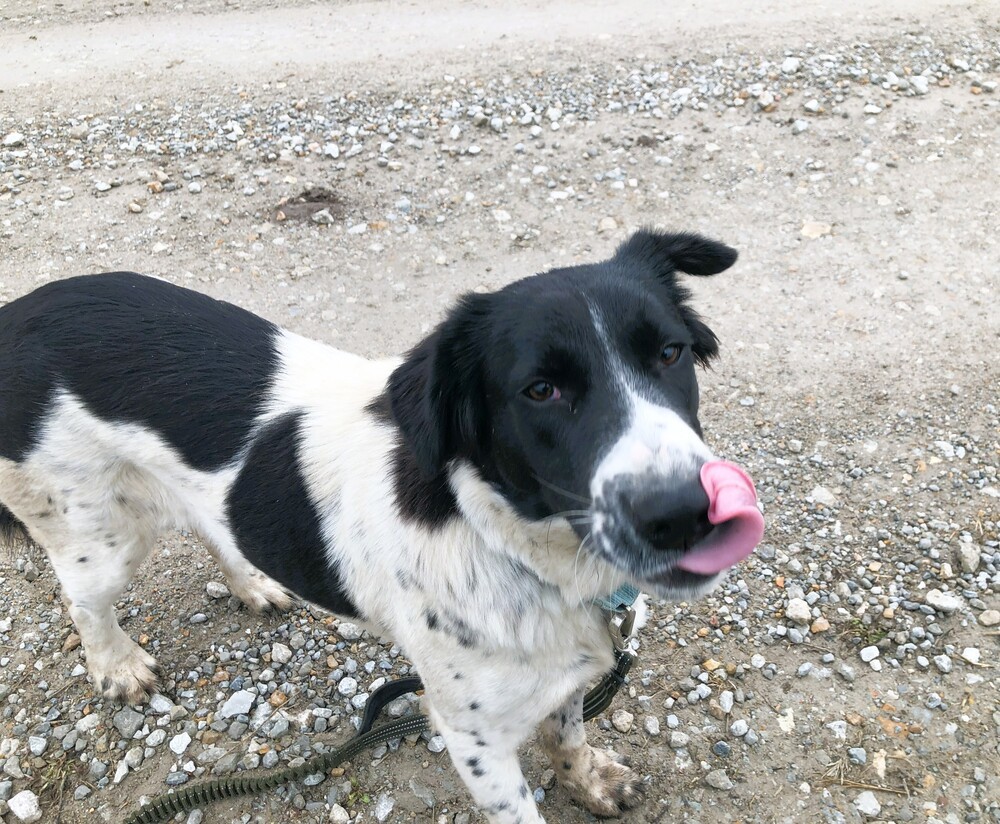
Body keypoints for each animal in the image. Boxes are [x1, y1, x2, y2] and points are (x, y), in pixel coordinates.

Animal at [1, 230, 764, 816]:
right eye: (541, 390)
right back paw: (118, 666)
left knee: (216, 525)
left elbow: (568, 732)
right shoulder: (473, 737)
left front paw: (589, 779)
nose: (683, 512)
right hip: (100, 537)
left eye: (669, 353)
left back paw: (253, 584)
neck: (503, 535)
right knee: (84, 601)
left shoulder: (562, 673)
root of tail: (17, 313)